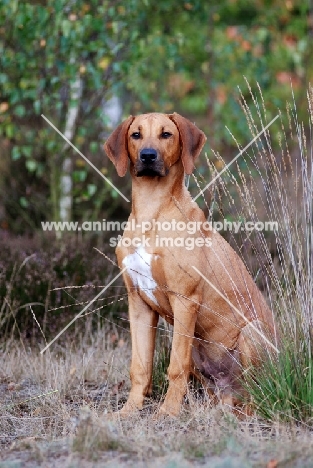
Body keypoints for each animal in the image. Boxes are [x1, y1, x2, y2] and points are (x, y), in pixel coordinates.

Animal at [103, 112, 274, 416]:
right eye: (136, 134)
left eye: (166, 134)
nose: (148, 156)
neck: (152, 212)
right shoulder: (138, 302)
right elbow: (140, 367)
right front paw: (129, 411)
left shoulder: (185, 299)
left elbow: (175, 367)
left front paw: (167, 414)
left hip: (251, 332)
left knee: (258, 393)